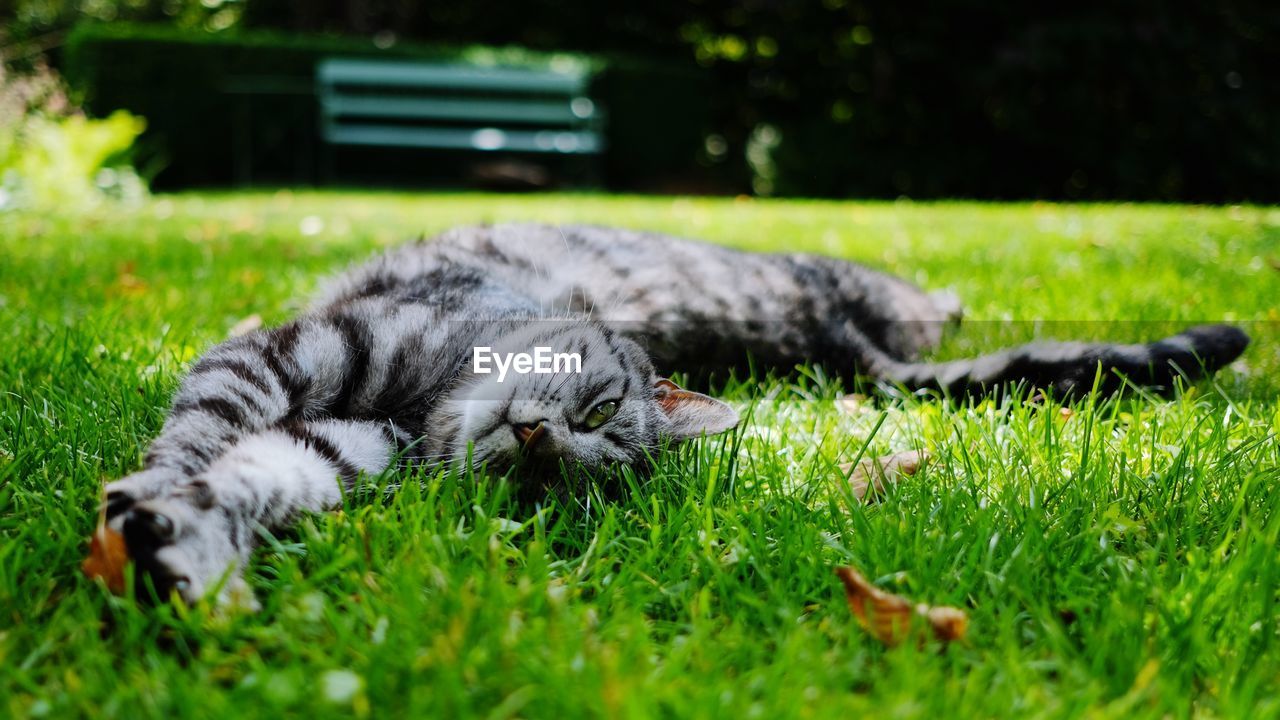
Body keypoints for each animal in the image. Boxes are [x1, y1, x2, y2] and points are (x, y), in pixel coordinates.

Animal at [92, 221, 1249, 602]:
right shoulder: (287, 353)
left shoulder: (340, 438)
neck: (425, 403)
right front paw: (157, 494)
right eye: (600, 404)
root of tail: (842, 346)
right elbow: (202, 431)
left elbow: (257, 476)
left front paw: (190, 546)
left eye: (557, 489)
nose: (536, 440)